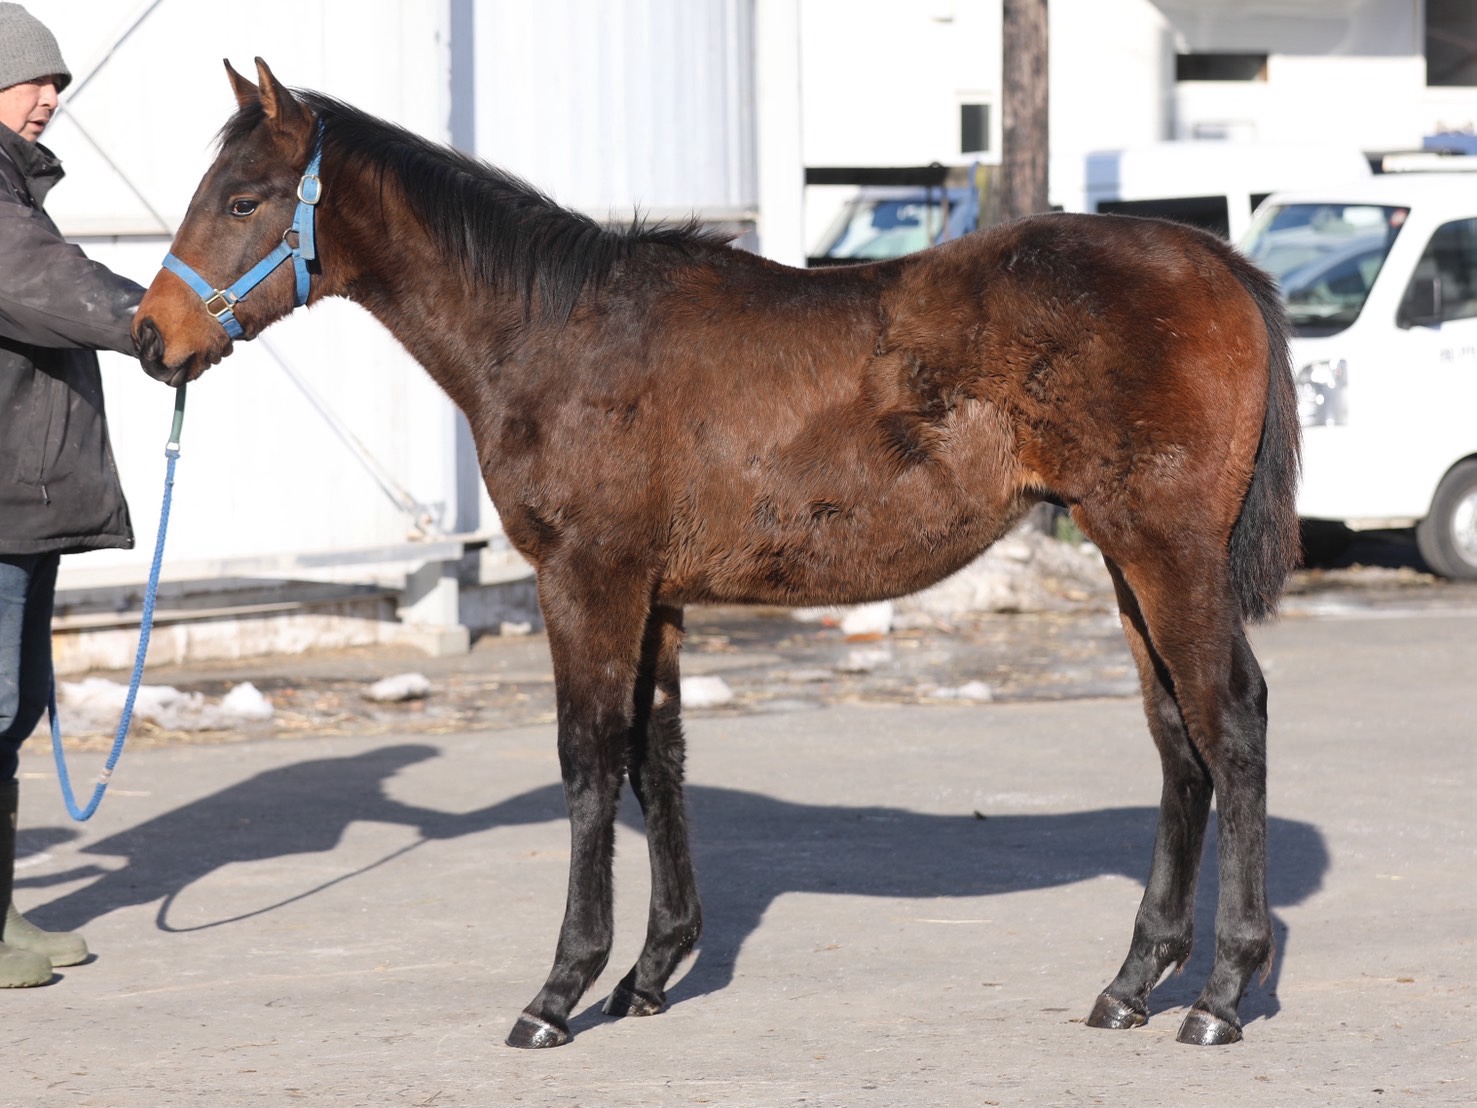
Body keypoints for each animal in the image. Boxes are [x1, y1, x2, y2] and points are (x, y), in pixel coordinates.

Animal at [134, 59, 1300, 1050]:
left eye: (244, 200)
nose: (152, 338)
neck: (557, 333)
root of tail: (1218, 261)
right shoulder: (654, 595)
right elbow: (658, 756)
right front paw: (650, 973)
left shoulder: (587, 580)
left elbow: (589, 759)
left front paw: (561, 989)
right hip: (1126, 558)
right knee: (1176, 739)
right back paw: (1134, 981)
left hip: (1165, 552)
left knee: (1230, 720)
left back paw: (1221, 992)